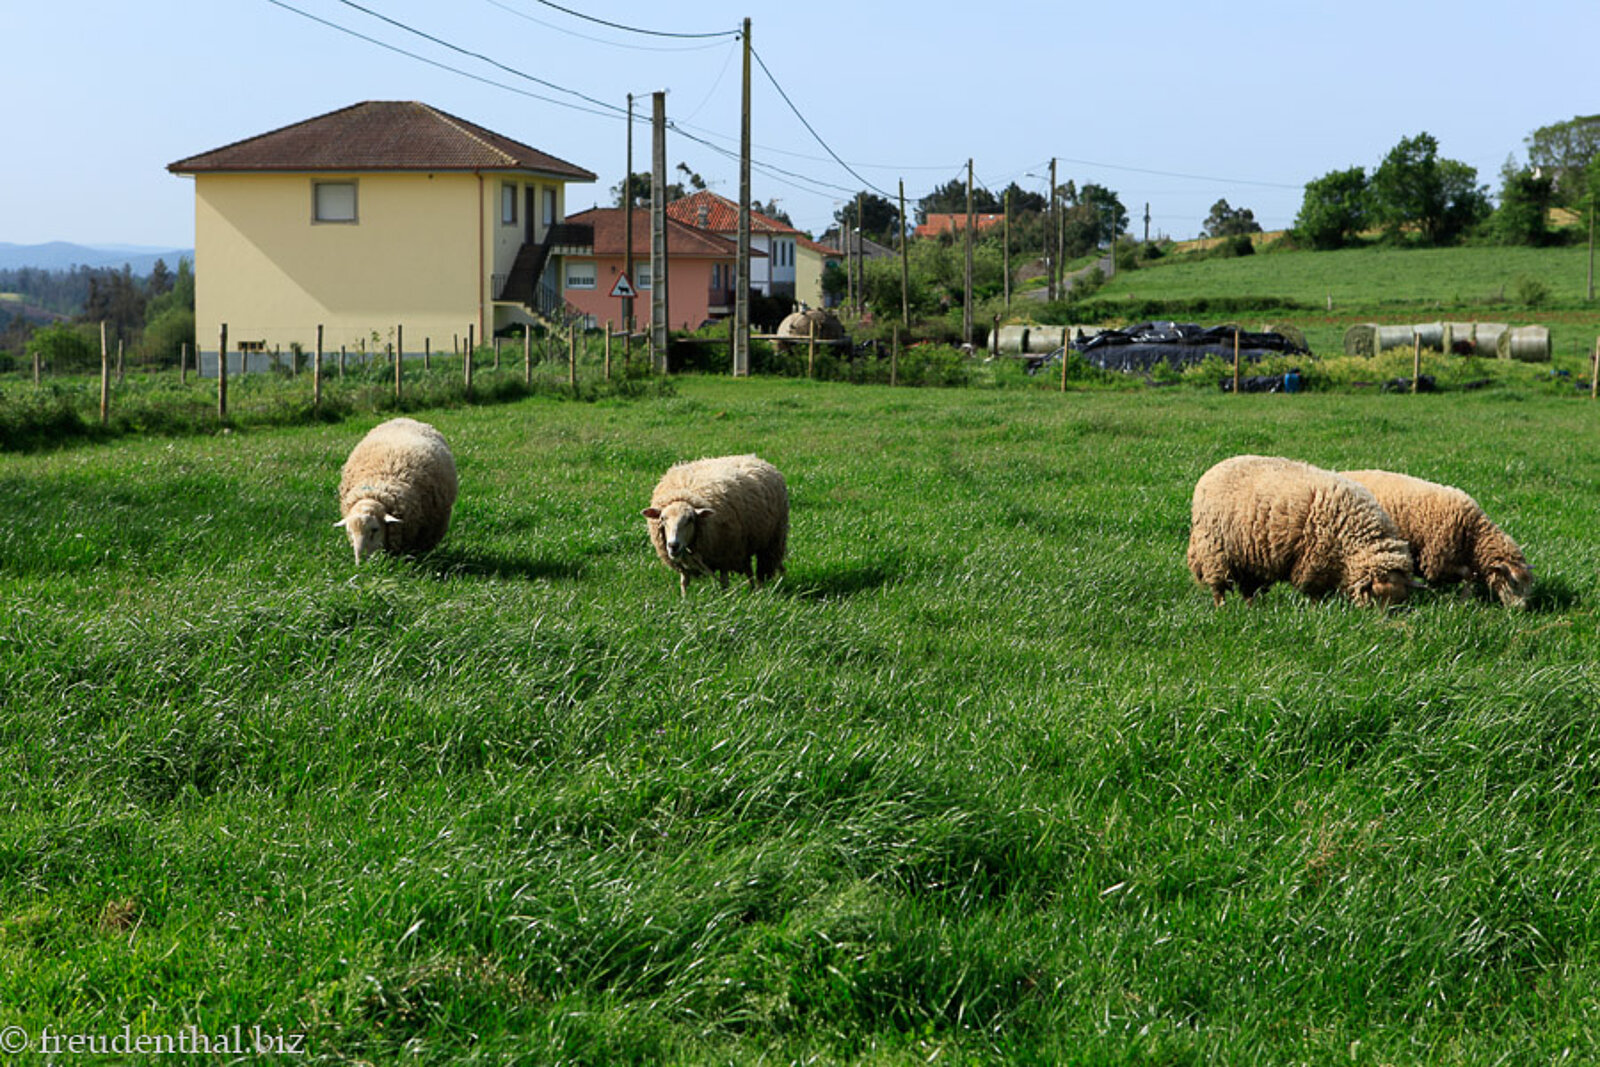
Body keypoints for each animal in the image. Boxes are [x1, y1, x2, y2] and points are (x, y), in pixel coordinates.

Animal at [642, 454, 788, 595]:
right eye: (662, 519)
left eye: (690, 519)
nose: (673, 545)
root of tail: (753, 457)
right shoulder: (684, 564)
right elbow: (684, 582)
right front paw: (684, 600)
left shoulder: (725, 556)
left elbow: (724, 583)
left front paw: (725, 599)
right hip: (744, 546)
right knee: (749, 571)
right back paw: (753, 591)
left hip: (771, 542)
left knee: (761, 573)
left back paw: (759, 592)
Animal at [1187, 455, 1414, 607]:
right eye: (1377, 596)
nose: (1379, 624)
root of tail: (1213, 470)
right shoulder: (1315, 560)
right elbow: (1313, 591)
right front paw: (1317, 610)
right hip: (1214, 550)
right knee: (1218, 587)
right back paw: (1222, 609)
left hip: (1248, 557)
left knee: (1249, 588)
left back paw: (1253, 608)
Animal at [1340, 469, 1532, 608]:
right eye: (1514, 582)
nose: (1520, 610)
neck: (1473, 535)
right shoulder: (1437, 558)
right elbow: (1467, 574)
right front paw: (1461, 600)